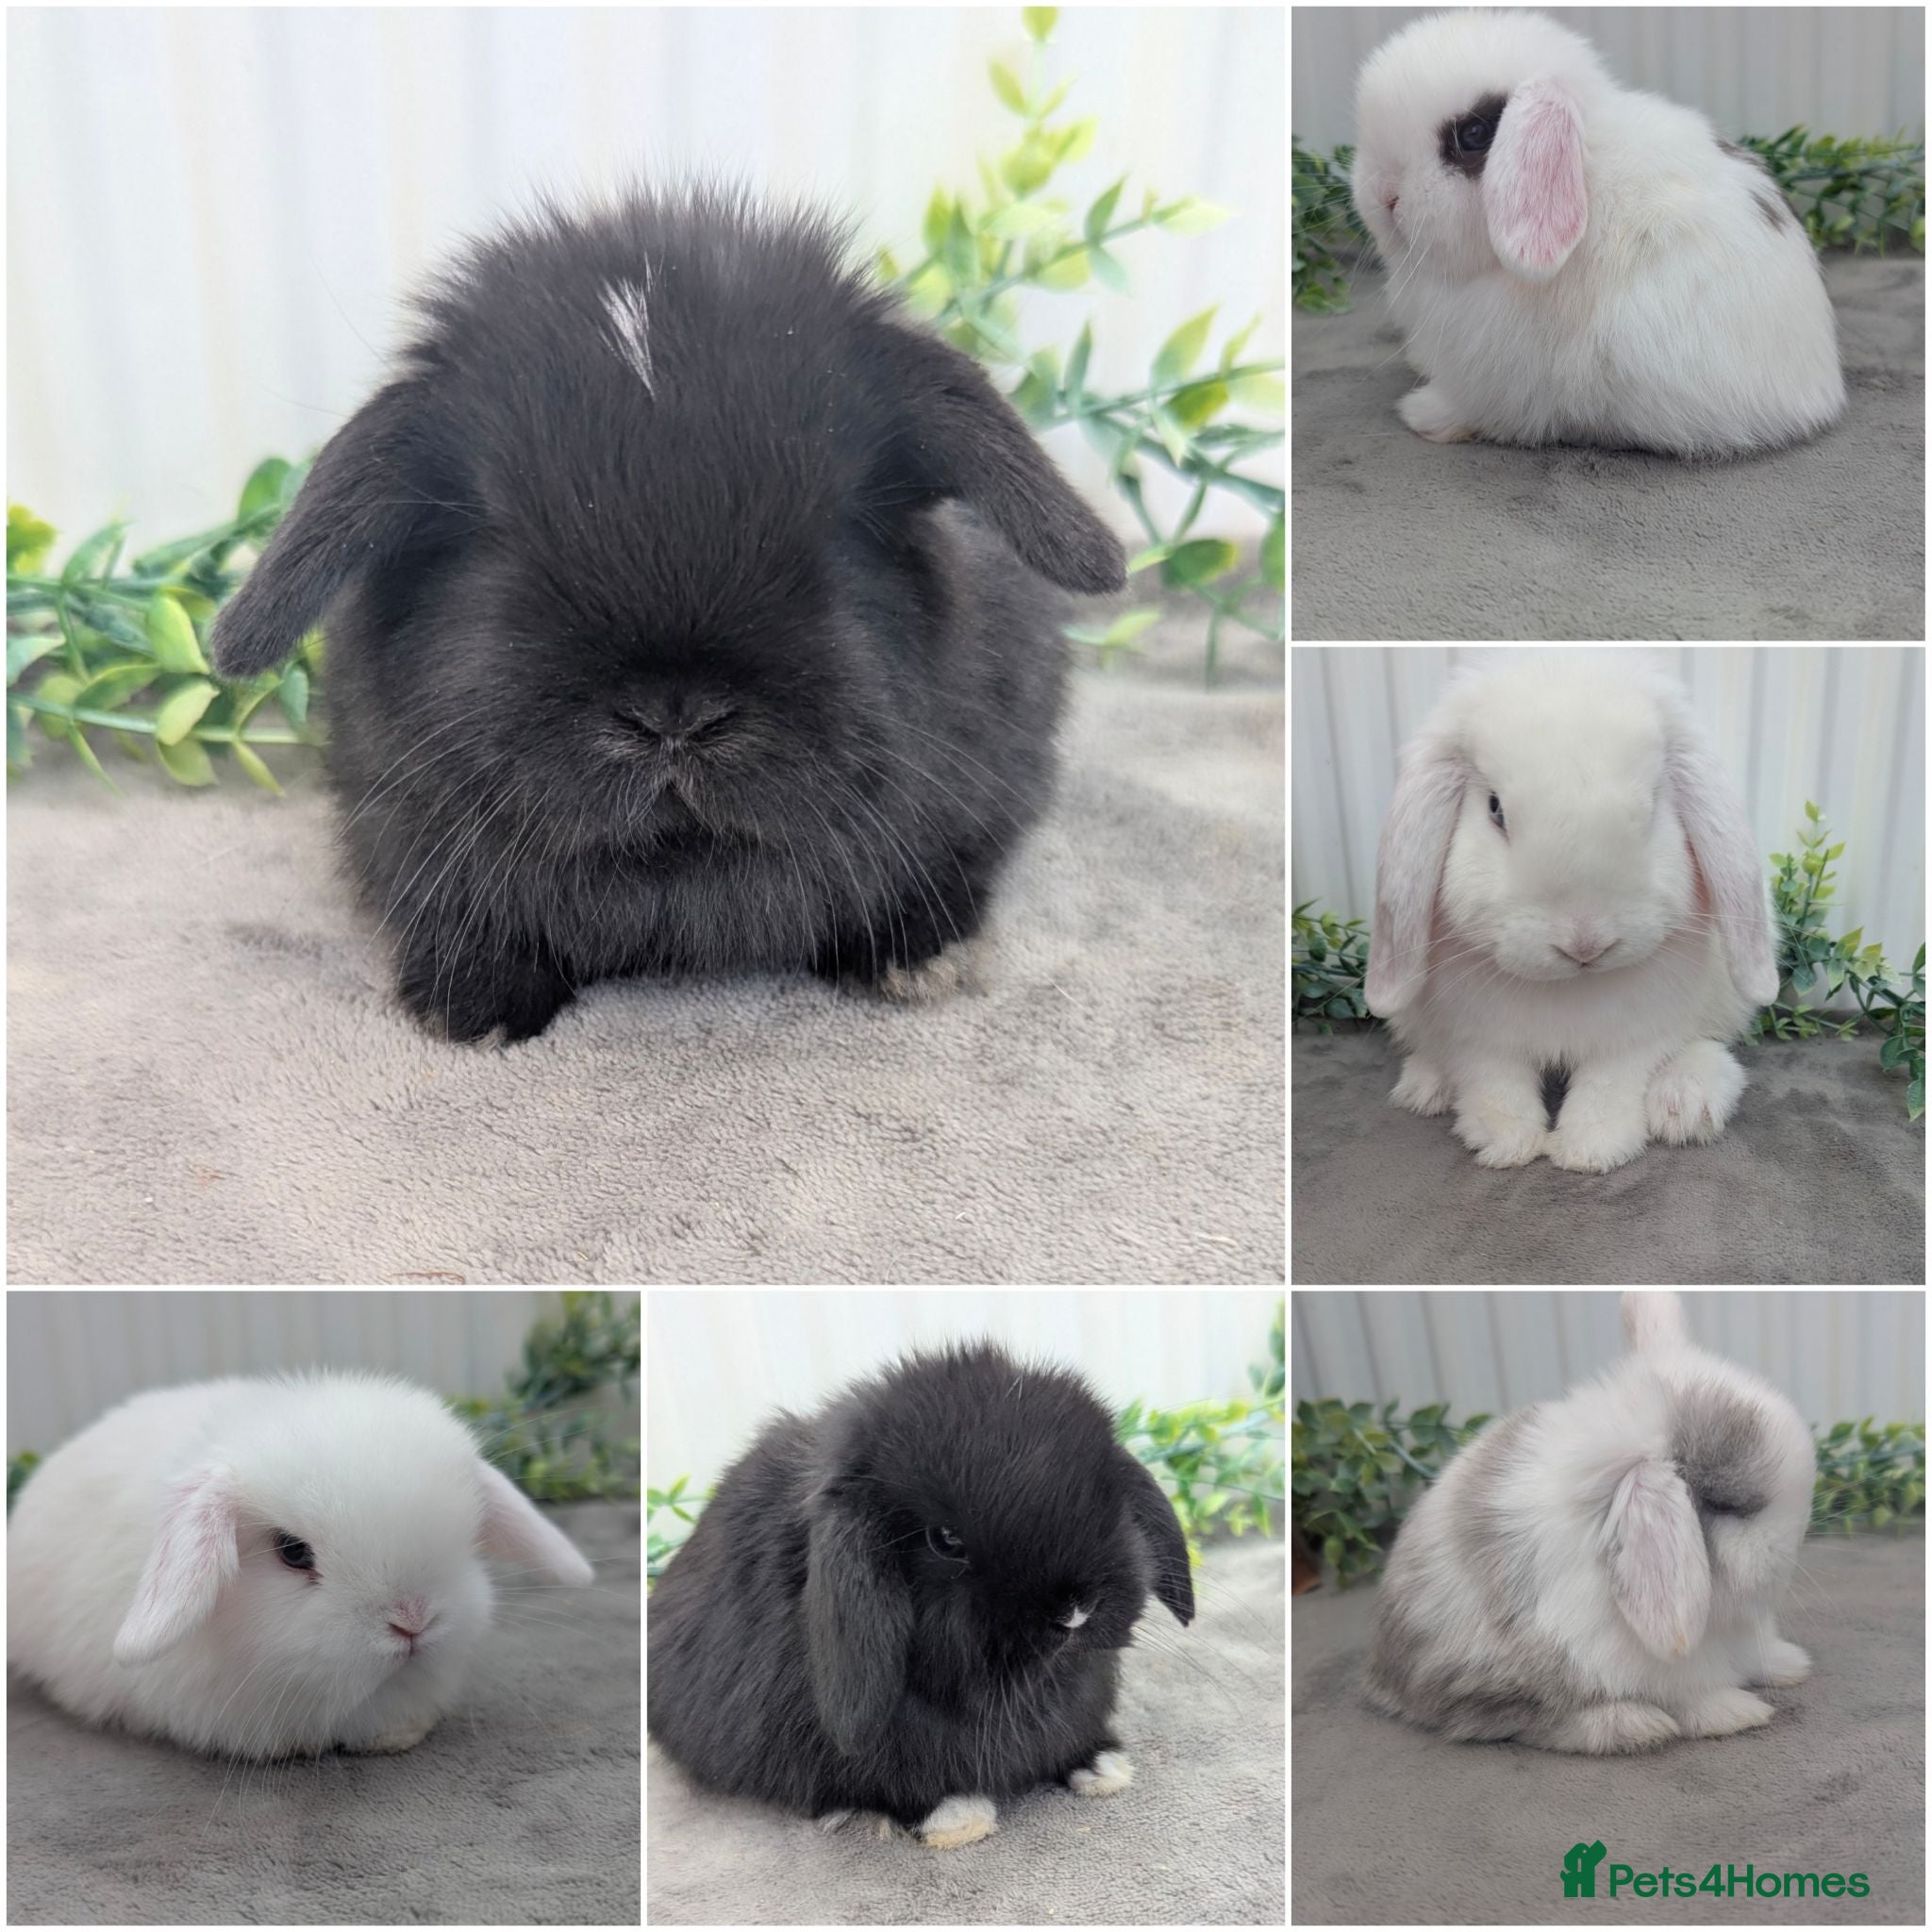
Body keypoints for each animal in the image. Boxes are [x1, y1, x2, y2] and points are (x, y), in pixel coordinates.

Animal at [1351, 9, 1846, 456]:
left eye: (1473, 134)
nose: (1384, 196)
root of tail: (1817, 394)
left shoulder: (1500, 377)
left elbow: (1484, 410)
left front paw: (1423, 415)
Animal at [1364, 1292, 1816, 1755]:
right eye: (1724, 1506)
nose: (1797, 1539)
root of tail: (1382, 1677)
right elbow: (1690, 1694)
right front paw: (1735, 1712)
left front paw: (1790, 1664)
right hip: (1492, 1675)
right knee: (1518, 1720)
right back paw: (1637, 1725)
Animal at [1365, 652, 1776, 1174]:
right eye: (1495, 810)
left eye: (1652, 807)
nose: (1585, 942)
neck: (1569, 987)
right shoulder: (1479, 1036)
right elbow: (1496, 1085)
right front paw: (1508, 1144)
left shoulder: (1634, 1036)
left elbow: (1608, 1087)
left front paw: (1589, 1152)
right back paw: (1424, 1088)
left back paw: (1686, 1105)